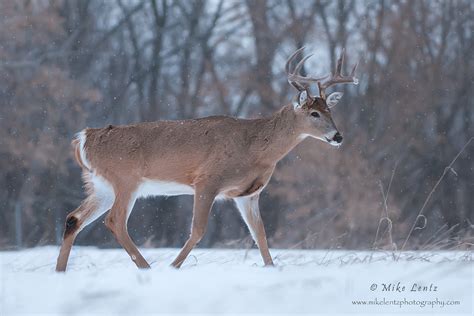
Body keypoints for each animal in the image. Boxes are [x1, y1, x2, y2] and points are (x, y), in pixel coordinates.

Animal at [55, 47, 358, 272]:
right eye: (313, 113)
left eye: (330, 110)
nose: (338, 136)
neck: (255, 147)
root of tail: (83, 138)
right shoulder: (207, 180)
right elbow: (198, 231)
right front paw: (174, 267)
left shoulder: (248, 194)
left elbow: (260, 235)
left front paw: (271, 269)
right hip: (126, 179)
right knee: (115, 221)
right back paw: (147, 268)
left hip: (101, 185)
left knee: (73, 218)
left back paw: (60, 271)